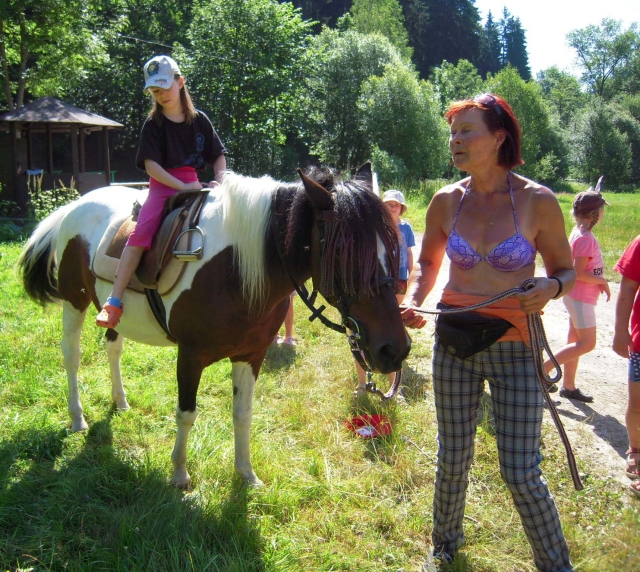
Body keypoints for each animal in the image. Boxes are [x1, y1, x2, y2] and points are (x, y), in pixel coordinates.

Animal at [18, 165, 411, 488]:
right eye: (343, 251)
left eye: (392, 247)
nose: (395, 348)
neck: (237, 271)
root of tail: (74, 206)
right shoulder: (190, 356)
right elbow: (186, 413)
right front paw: (179, 473)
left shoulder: (251, 355)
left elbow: (243, 414)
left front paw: (246, 474)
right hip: (75, 301)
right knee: (71, 356)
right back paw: (77, 418)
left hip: (109, 310)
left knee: (112, 345)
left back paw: (121, 401)